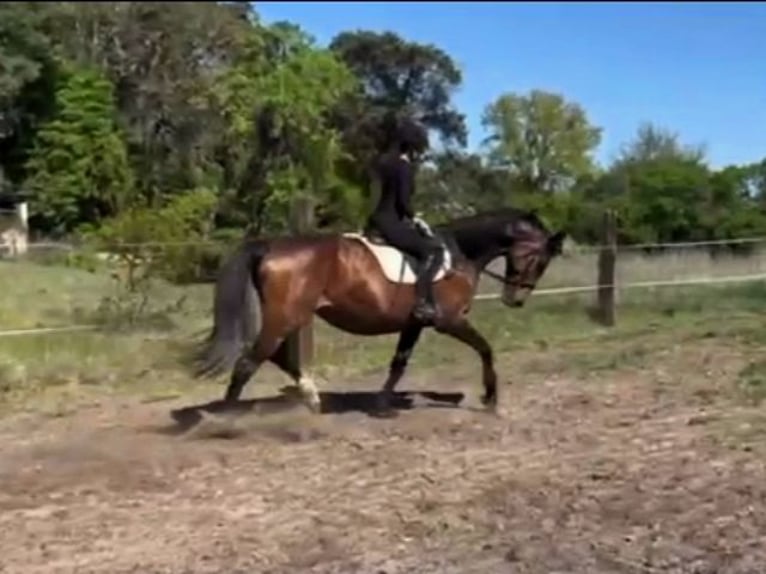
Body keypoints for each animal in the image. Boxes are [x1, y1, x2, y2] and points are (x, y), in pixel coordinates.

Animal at [193, 207, 566, 415]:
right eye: (540, 260)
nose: (516, 300)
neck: (459, 254)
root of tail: (271, 245)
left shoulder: (415, 322)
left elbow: (399, 363)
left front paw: (383, 404)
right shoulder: (450, 321)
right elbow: (486, 349)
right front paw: (490, 398)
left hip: (288, 317)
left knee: (274, 357)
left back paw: (312, 400)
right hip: (285, 317)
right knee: (248, 363)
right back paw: (225, 421)